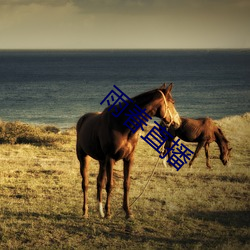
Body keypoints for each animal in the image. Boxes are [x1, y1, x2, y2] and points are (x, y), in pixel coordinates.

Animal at [75, 83, 180, 218]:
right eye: (173, 102)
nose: (178, 122)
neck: (122, 126)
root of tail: (82, 119)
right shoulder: (110, 158)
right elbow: (110, 185)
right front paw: (108, 212)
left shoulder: (129, 158)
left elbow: (126, 184)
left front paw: (128, 211)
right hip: (84, 157)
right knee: (85, 184)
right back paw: (86, 212)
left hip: (102, 161)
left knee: (99, 182)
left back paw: (100, 211)